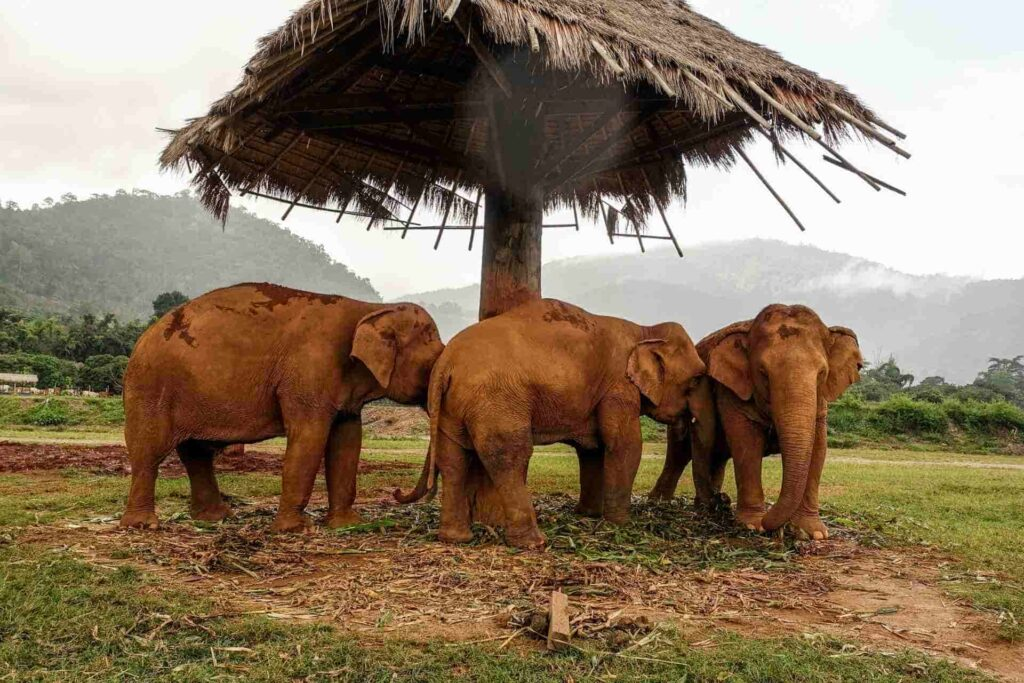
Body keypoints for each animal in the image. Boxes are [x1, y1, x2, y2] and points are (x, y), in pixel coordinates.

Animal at [117, 282, 442, 532]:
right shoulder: (308, 373)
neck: (370, 309)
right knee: (150, 451)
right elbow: (309, 438)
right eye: (431, 366)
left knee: (196, 453)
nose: (396, 492)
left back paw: (215, 518)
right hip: (150, 387)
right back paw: (143, 525)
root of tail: (144, 337)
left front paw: (348, 525)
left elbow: (347, 442)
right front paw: (294, 530)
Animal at [397, 299, 704, 548]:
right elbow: (624, 445)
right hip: (495, 401)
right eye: (697, 379)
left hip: (451, 408)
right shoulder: (619, 387)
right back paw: (533, 543)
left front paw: (588, 515)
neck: (644, 330)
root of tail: (445, 362)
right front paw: (618, 525)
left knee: (453, 460)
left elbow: (592, 450)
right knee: (509, 456)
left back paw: (455, 539)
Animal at [647, 305, 864, 540]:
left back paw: (711, 507)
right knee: (678, 453)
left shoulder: (820, 402)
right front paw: (753, 526)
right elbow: (746, 443)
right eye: (763, 373)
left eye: (822, 373)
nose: (779, 528)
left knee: (716, 457)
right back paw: (661, 504)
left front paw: (813, 533)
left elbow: (818, 449)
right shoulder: (731, 389)